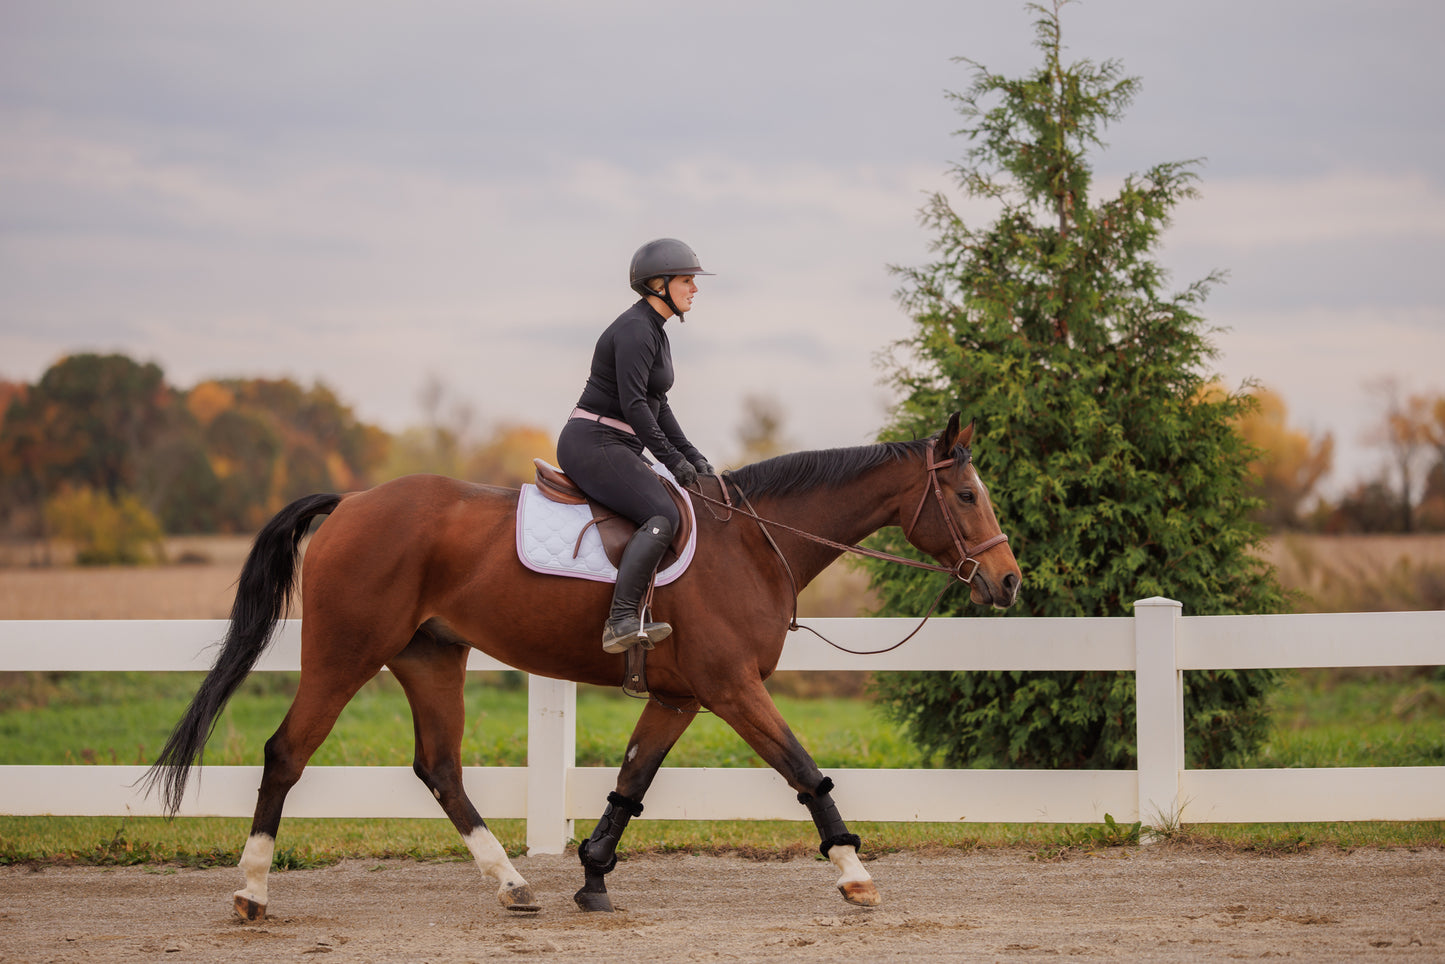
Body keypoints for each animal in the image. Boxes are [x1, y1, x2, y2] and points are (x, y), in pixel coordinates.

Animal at [143, 410, 1017, 919]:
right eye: (966, 495)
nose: (1007, 581)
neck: (751, 543)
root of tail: (353, 502)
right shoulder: (732, 688)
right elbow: (803, 771)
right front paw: (852, 872)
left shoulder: (680, 697)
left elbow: (631, 780)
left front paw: (593, 874)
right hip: (344, 654)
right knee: (286, 754)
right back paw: (251, 892)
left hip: (431, 660)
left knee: (440, 769)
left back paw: (511, 885)